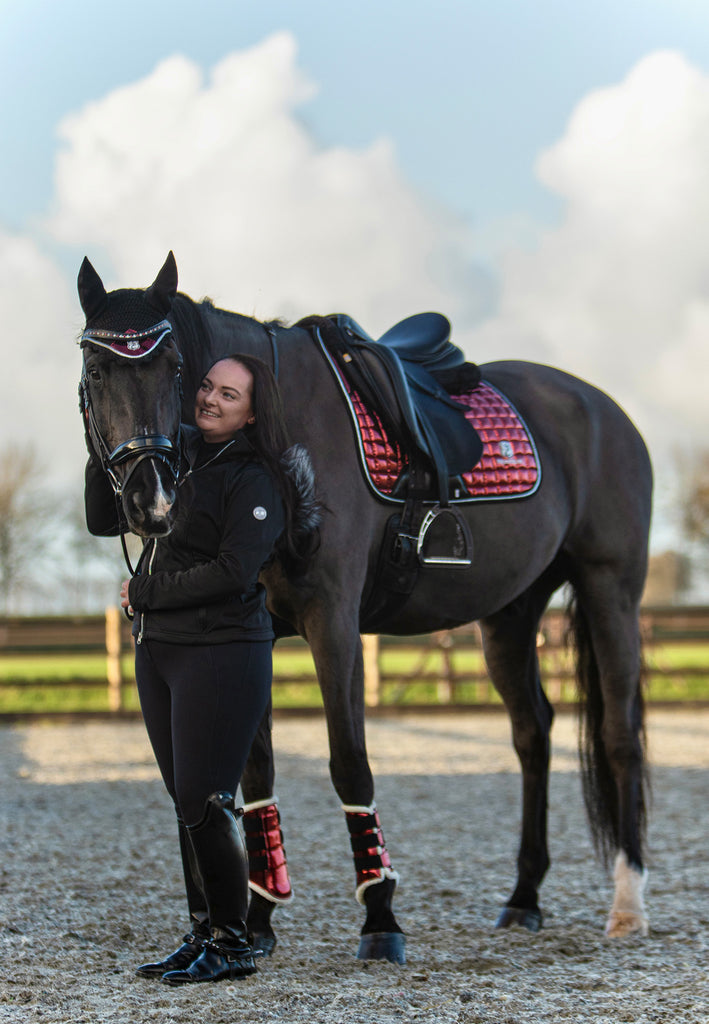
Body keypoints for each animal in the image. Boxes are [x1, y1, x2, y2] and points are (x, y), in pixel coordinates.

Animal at [77, 253, 651, 958]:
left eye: (176, 369)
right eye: (96, 370)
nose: (149, 499)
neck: (273, 438)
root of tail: (601, 407)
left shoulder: (334, 624)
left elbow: (350, 760)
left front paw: (381, 917)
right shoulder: (252, 636)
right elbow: (256, 773)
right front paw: (260, 919)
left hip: (610, 591)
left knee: (619, 735)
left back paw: (628, 905)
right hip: (510, 614)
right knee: (532, 733)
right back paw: (523, 898)